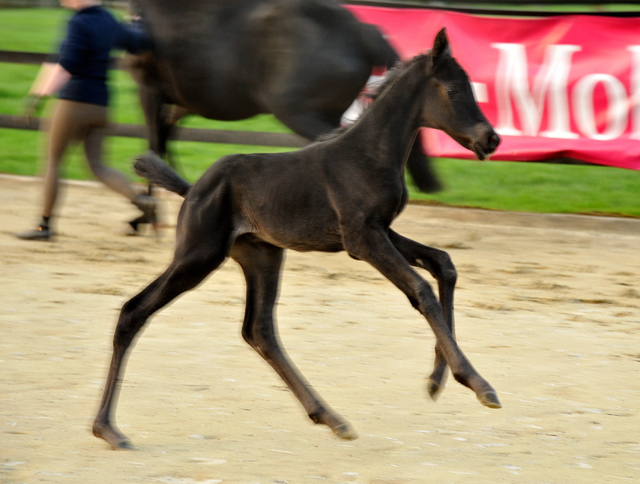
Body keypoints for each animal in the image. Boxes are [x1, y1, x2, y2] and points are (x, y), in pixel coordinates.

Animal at [94, 28, 500, 448]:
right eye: (453, 90)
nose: (491, 139)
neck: (370, 153)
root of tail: (193, 190)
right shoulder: (362, 239)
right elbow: (421, 289)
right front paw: (478, 384)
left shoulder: (381, 229)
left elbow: (443, 264)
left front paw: (437, 381)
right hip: (198, 254)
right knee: (134, 312)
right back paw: (108, 429)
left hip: (262, 255)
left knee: (259, 330)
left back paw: (331, 417)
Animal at [127, 0, 442, 233]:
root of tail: (361, 29)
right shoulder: (183, 102)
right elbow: (165, 140)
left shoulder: (149, 89)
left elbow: (153, 143)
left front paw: (147, 215)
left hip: (300, 112)